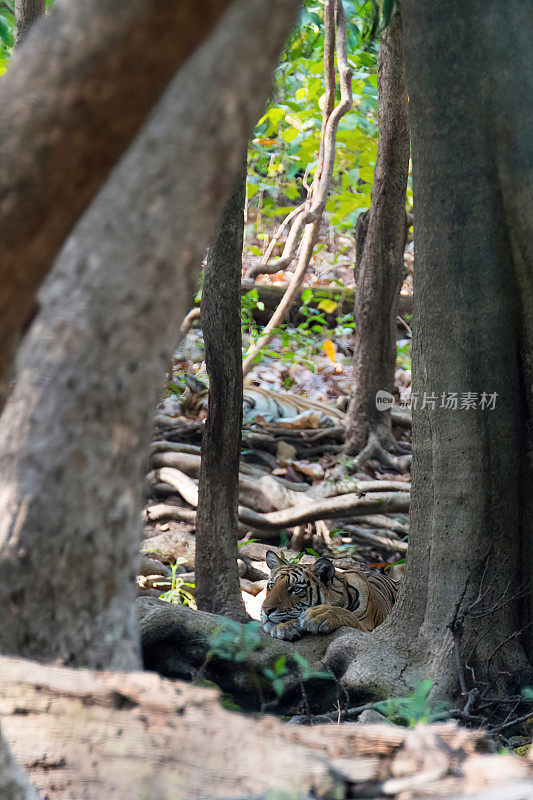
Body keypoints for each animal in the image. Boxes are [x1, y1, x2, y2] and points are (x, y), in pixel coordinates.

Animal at [260, 552, 396, 640]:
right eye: (271, 586)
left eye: (296, 589)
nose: (266, 610)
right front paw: (284, 626)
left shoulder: (370, 629)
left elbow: (350, 616)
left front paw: (320, 614)